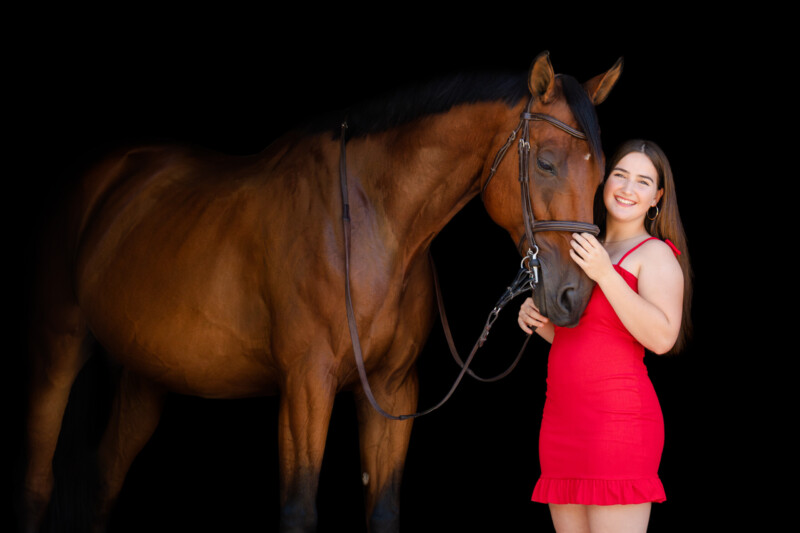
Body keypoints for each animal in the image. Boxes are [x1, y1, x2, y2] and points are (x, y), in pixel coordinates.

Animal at [21, 51, 621, 533]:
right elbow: (299, 508)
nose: (573, 298)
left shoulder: (393, 390)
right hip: (58, 349)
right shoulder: (305, 386)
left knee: (102, 481)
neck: (372, 222)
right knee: (37, 485)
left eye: (601, 179)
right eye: (545, 163)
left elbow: (383, 508)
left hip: (145, 375)